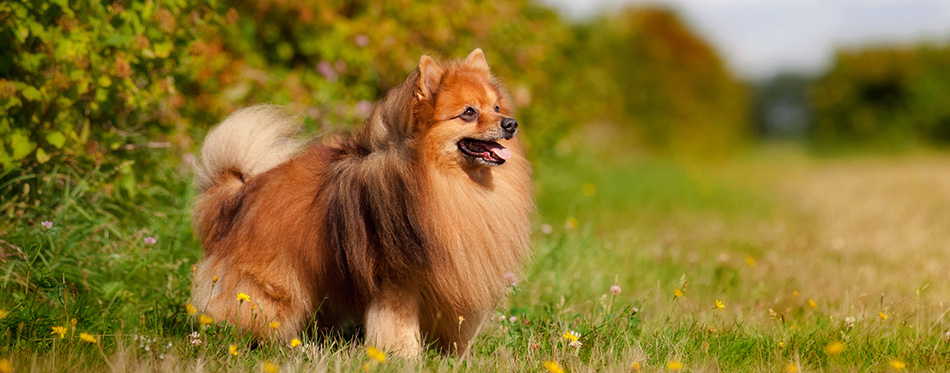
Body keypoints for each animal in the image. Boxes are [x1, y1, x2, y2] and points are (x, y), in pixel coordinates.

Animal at [192, 48, 536, 354]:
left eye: (496, 107)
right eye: (469, 112)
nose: (510, 123)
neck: (445, 181)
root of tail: (242, 191)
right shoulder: (398, 280)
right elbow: (397, 325)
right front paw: (402, 356)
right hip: (274, 284)